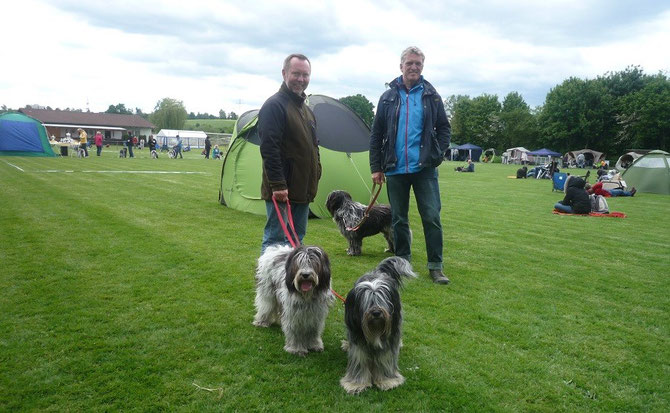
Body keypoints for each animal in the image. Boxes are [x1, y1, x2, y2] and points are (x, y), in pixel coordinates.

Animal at [344, 256, 418, 394]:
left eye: (382, 300)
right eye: (368, 302)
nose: (377, 313)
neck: (375, 329)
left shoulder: (388, 341)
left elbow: (385, 358)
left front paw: (387, 381)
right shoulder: (358, 341)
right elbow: (360, 359)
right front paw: (356, 384)